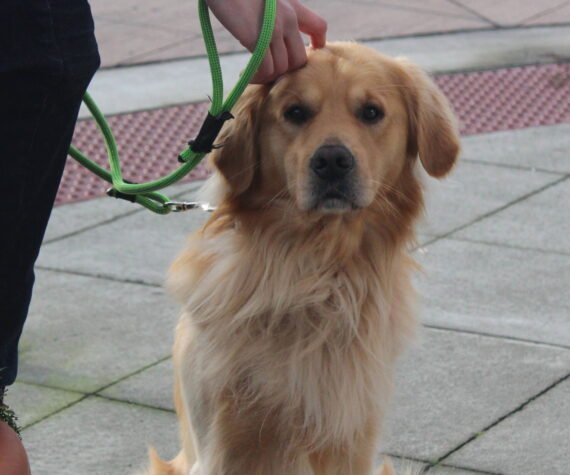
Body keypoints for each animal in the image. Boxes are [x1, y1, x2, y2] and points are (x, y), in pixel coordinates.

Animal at [142, 41, 458, 475]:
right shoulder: (221, 442)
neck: (314, 271)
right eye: (295, 112)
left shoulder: (351, 435)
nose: (332, 161)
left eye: (371, 112)